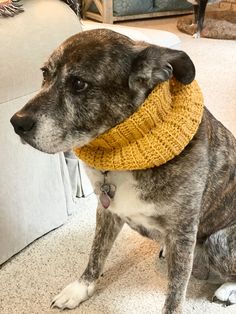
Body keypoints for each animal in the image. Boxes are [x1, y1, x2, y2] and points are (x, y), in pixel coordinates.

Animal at [10, 28, 236, 312]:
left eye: (79, 84)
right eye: (44, 73)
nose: (16, 123)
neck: (129, 152)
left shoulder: (183, 233)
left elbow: (175, 293)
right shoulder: (106, 210)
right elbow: (96, 252)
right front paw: (81, 288)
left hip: (220, 241)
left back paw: (227, 289)